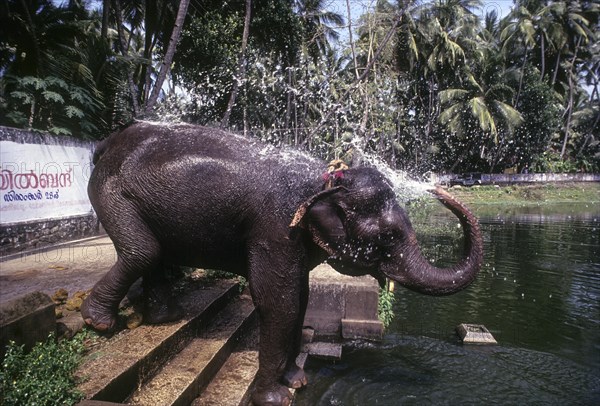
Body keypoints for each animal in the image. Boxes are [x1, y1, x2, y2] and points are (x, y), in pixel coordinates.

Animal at [79, 121, 482, 406]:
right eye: (387, 238)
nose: (438, 188)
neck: (327, 178)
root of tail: (106, 143)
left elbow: (301, 296)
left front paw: (297, 380)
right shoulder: (276, 227)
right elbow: (280, 302)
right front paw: (276, 397)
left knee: (156, 253)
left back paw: (164, 317)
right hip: (113, 193)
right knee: (143, 250)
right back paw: (100, 323)